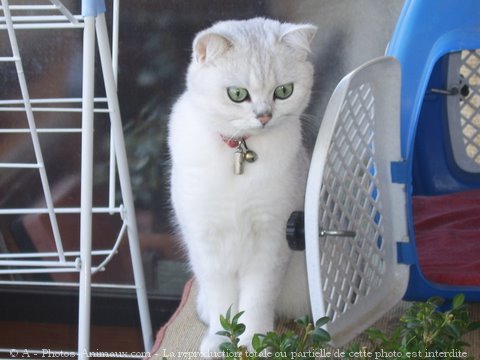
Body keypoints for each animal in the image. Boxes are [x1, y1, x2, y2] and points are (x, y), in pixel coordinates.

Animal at [167, 17, 316, 354]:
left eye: (283, 91)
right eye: (237, 94)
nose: (264, 116)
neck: (240, 152)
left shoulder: (272, 238)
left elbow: (258, 297)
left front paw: (254, 341)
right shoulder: (207, 240)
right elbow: (223, 300)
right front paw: (221, 340)